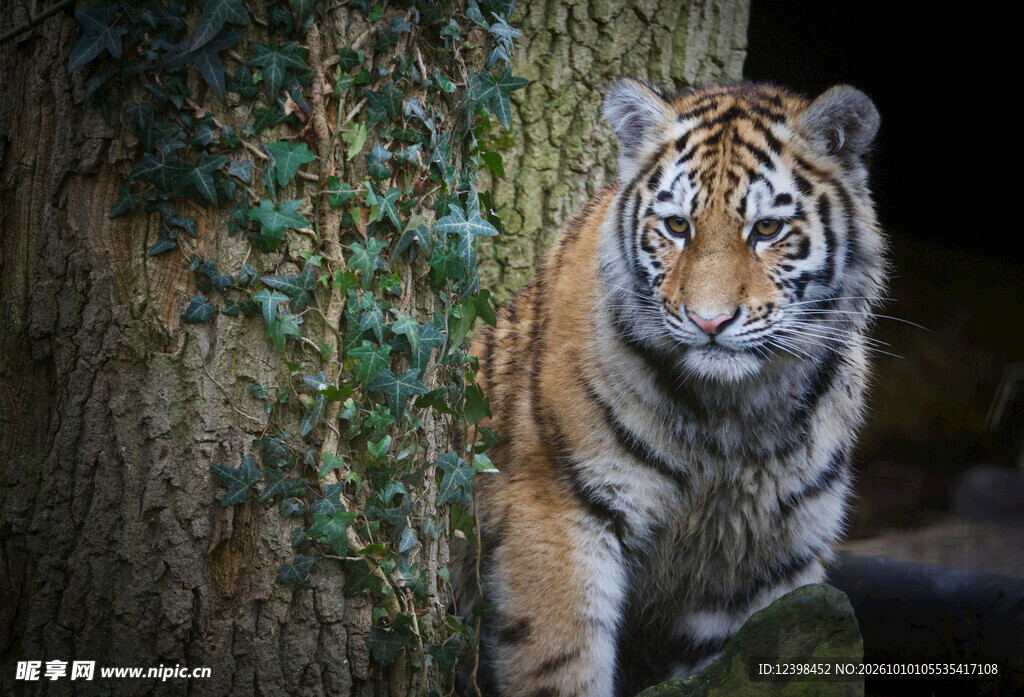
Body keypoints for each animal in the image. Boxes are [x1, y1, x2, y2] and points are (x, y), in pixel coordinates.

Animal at [452, 79, 886, 697]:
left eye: (767, 229)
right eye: (678, 227)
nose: (710, 321)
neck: (733, 417)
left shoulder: (769, 563)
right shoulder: (558, 514)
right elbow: (562, 666)